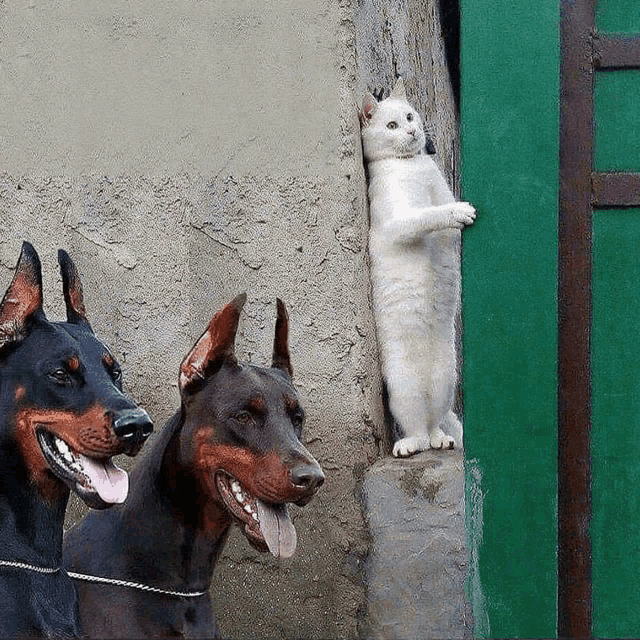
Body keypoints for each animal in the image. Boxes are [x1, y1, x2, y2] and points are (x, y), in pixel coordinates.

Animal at [360, 77, 476, 458]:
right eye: (391, 126)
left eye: (410, 117)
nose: (412, 131)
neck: (412, 165)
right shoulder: (398, 221)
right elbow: (427, 215)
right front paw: (458, 212)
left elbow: (443, 214)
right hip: (403, 385)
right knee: (414, 428)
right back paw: (409, 445)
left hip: (445, 379)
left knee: (435, 422)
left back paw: (442, 438)